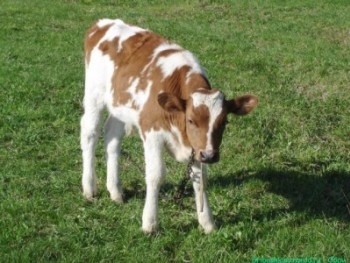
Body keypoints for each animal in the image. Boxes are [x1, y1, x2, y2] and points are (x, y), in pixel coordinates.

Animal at [81, 19, 258, 235]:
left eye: (224, 121)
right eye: (190, 120)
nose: (210, 155)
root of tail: (103, 23)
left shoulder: (197, 147)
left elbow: (200, 180)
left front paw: (207, 222)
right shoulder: (152, 133)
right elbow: (155, 176)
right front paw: (150, 223)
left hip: (119, 106)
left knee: (112, 136)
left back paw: (115, 191)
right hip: (94, 94)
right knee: (90, 133)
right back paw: (89, 187)